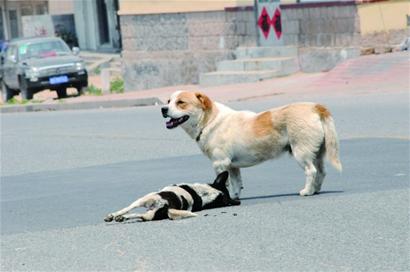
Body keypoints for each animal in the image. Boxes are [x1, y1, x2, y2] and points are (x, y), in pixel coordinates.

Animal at [103, 173, 240, 222]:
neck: (205, 193)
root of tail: (168, 205)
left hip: (146, 199)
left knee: (130, 210)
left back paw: (115, 216)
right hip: (149, 209)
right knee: (137, 214)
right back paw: (119, 217)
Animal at [162, 90, 342, 199]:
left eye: (181, 102)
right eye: (169, 101)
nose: (163, 109)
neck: (210, 120)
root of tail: (315, 107)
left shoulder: (220, 164)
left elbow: (223, 183)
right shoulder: (232, 166)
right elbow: (236, 183)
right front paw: (234, 197)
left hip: (301, 153)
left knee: (311, 171)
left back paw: (307, 191)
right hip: (317, 153)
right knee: (321, 171)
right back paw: (315, 190)